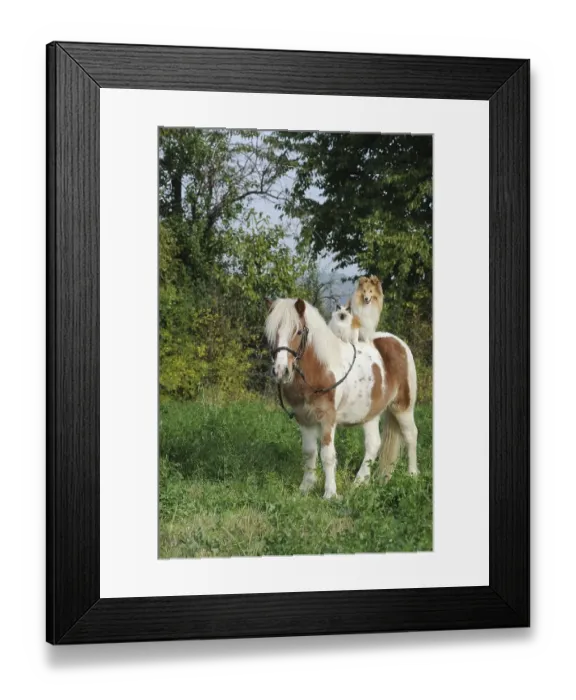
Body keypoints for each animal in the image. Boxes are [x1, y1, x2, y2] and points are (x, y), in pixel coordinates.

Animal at [265, 297, 419, 500]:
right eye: (273, 332)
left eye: (297, 331)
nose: (281, 371)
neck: (320, 370)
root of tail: (399, 343)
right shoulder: (304, 419)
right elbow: (309, 452)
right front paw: (305, 488)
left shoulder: (327, 419)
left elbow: (327, 455)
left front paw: (330, 494)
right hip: (370, 413)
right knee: (373, 444)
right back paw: (360, 483)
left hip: (402, 407)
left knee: (410, 435)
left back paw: (412, 475)